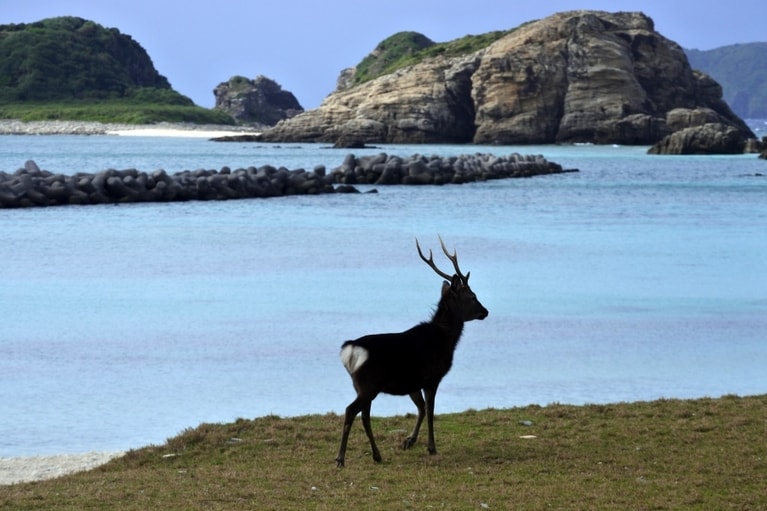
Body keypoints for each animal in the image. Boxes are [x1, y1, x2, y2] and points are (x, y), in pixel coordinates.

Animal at [334, 238, 486, 466]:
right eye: (472, 296)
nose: (485, 312)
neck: (446, 340)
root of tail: (351, 349)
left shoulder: (413, 382)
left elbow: (421, 408)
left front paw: (409, 441)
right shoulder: (432, 377)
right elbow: (430, 410)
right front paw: (431, 448)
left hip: (360, 385)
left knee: (365, 416)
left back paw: (377, 455)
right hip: (369, 384)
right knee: (351, 411)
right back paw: (340, 459)